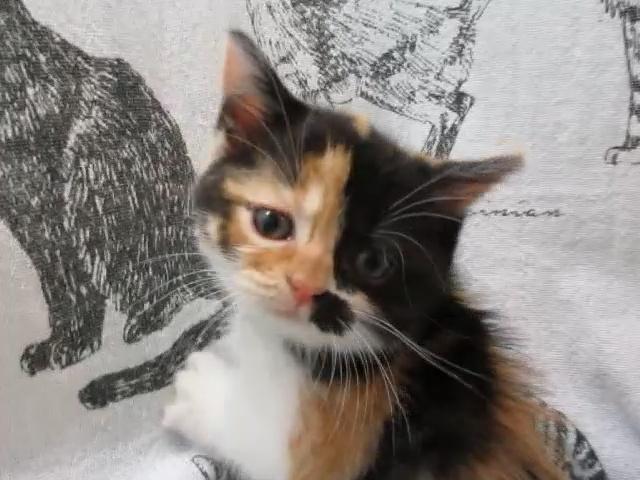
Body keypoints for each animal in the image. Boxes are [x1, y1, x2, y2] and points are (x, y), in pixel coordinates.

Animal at [0, 0, 222, 409]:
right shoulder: (26, 213)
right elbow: (58, 287)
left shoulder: (50, 207)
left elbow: (70, 286)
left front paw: (74, 346)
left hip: (100, 195)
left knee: (167, 283)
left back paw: (147, 318)